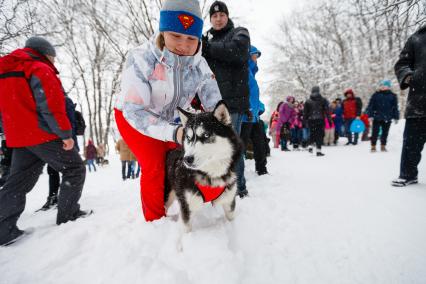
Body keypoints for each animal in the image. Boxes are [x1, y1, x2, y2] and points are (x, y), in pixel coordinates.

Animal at [165, 101, 241, 232]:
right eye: (189, 138)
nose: (187, 159)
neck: (210, 174)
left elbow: (231, 219)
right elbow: (186, 229)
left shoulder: (229, 201)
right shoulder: (186, 207)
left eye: (206, 135)